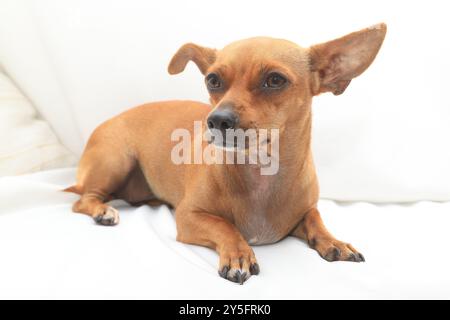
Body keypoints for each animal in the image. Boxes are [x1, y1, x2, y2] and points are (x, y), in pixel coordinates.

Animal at [66, 24, 386, 284]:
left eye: (275, 80)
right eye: (213, 80)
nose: (217, 119)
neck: (260, 172)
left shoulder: (305, 212)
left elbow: (316, 220)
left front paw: (335, 242)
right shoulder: (189, 216)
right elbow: (225, 226)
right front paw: (238, 254)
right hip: (116, 161)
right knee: (83, 199)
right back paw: (103, 211)